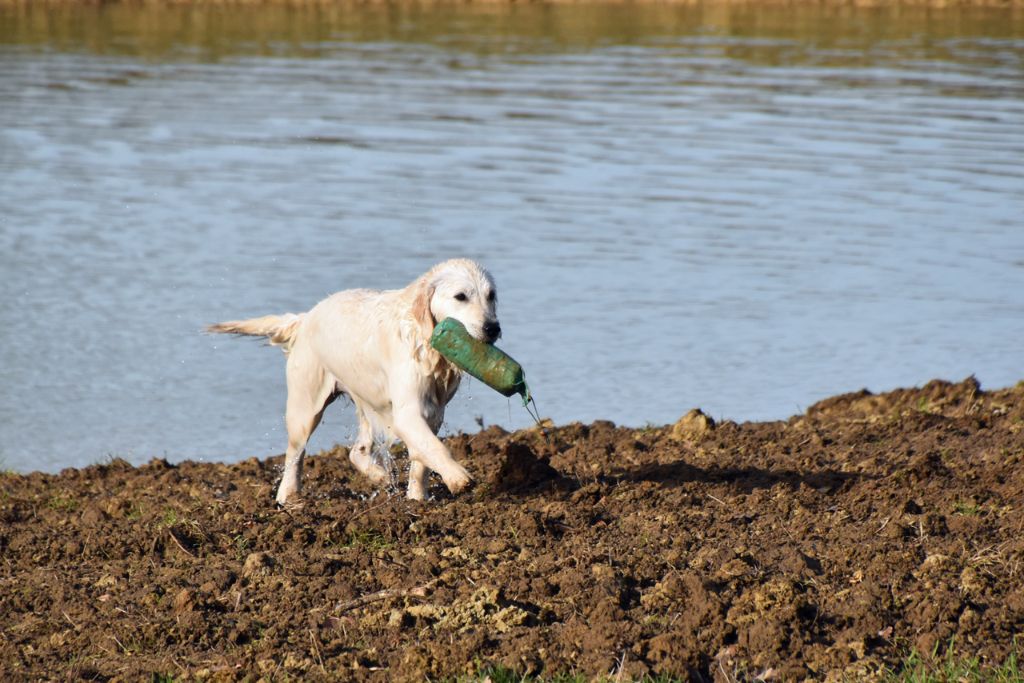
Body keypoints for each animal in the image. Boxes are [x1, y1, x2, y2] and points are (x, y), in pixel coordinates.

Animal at [207, 259, 499, 505]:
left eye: (491, 295)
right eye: (461, 296)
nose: (492, 328)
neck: (423, 338)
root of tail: (305, 317)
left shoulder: (434, 410)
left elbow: (422, 458)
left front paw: (417, 497)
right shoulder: (408, 413)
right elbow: (434, 448)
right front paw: (458, 478)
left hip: (365, 399)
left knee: (356, 451)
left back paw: (379, 475)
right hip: (305, 407)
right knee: (295, 454)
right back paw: (289, 495)